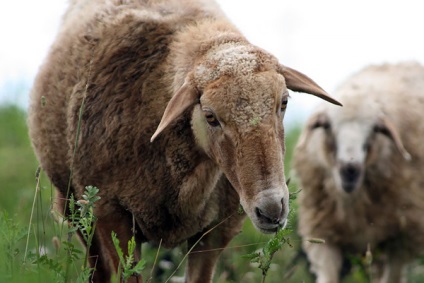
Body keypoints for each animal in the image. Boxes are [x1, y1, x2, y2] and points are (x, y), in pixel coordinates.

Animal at [28, 1, 340, 282]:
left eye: (283, 102)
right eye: (211, 116)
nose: (272, 210)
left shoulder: (216, 231)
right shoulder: (112, 217)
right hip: (75, 206)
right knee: (97, 269)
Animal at [294, 62, 424, 283]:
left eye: (374, 129)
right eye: (328, 126)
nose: (350, 169)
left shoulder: (402, 238)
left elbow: (392, 276)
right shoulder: (323, 235)